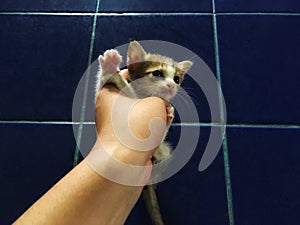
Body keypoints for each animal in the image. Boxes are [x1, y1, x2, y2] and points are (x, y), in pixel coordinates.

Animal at [95, 40, 192, 225]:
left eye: (177, 79)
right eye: (157, 73)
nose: (171, 86)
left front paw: (169, 113)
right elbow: (122, 88)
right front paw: (109, 69)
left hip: (163, 152)